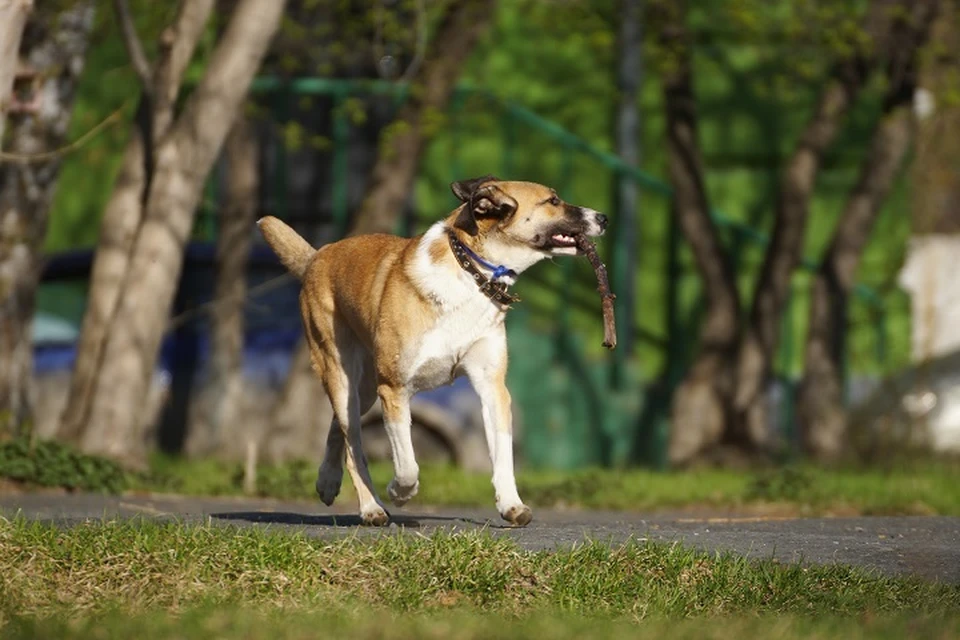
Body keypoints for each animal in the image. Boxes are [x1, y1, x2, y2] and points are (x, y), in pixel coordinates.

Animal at [256, 175, 608, 524]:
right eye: (553, 201)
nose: (603, 218)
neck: (471, 272)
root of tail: (317, 257)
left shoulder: (492, 387)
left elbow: (503, 454)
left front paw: (511, 504)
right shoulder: (394, 389)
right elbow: (407, 464)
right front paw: (400, 492)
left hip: (364, 388)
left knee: (338, 430)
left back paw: (328, 482)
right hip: (342, 374)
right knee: (354, 444)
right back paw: (372, 508)